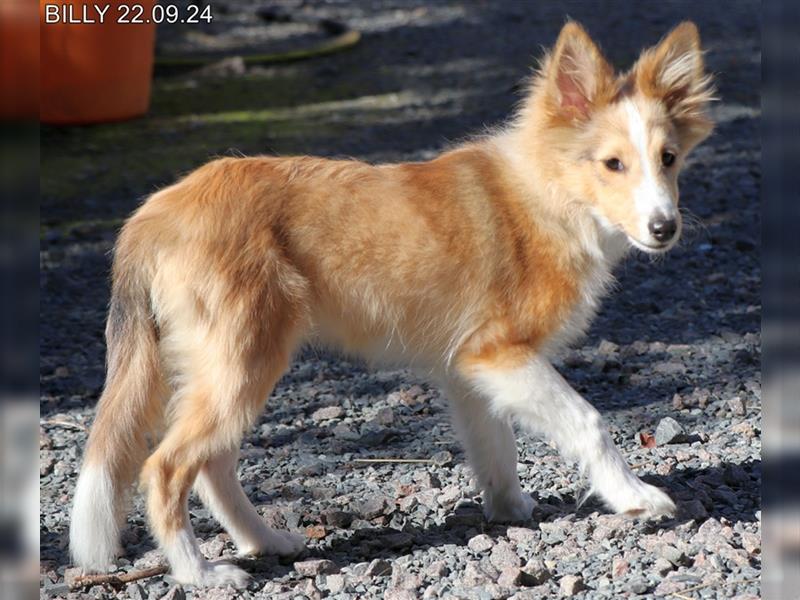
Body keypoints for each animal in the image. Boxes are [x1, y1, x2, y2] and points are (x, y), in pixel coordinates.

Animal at [69, 19, 712, 584]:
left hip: (231, 367)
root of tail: (158, 212)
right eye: (612, 164)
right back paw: (199, 572)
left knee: (214, 467)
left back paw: (266, 541)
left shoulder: (469, 370)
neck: (550, 194)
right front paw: (634, 496)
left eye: (669, 158)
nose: (665, 229)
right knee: (168, 467)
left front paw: (511, 512)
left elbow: (496, 448)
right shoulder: (501, 354)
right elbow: (589, 423)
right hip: (241, 362)